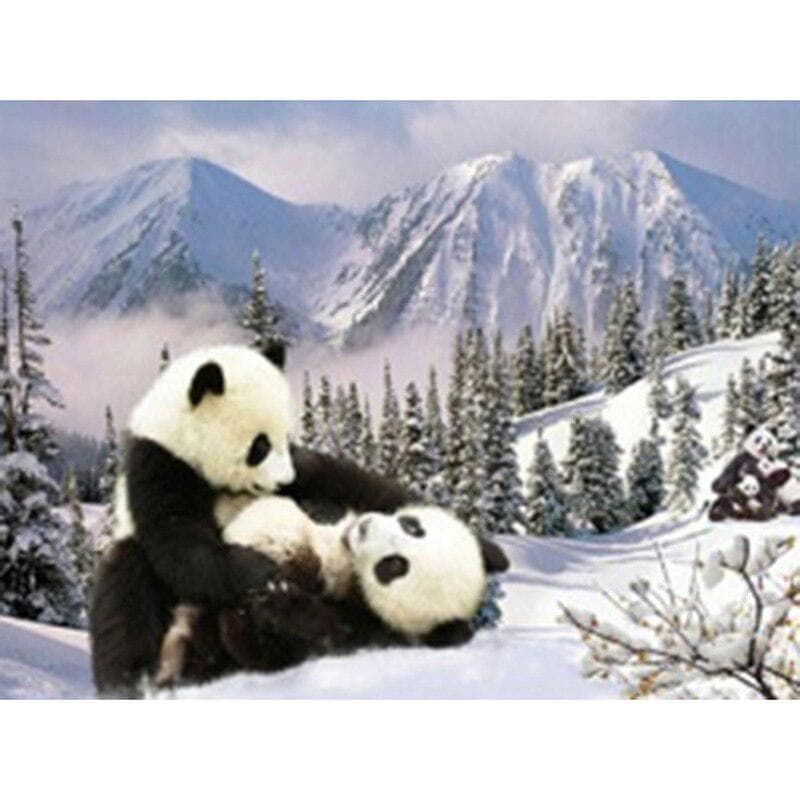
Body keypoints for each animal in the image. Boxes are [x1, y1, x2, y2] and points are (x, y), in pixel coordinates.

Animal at [89, 343, 416, 697]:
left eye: (286, 438)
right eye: (260, 445)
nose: (284, 480)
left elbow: (341, 481)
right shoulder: (161, 464)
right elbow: (179, 542)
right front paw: (260, 571)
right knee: (125, 591)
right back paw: (133, 681)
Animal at [155, 497, 508, 688]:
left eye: (394, 566)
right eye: (413, 526)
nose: (365, 526)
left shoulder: (364, 631)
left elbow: (272, 651)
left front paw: (279, 601)